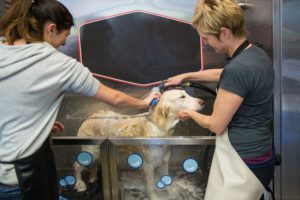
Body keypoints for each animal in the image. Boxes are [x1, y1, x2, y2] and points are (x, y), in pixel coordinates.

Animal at [73, 90, 204, 199]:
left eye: (187, 93)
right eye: (182, 97)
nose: (202, 102)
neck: (160, 127)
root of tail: (90, 117)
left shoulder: (164, 161)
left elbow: (167, 180)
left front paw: (171, 192)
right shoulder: (148, 165)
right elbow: (150, 186)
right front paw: (155, 197)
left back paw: (93, 177)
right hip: (91, 151)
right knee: (76, 166)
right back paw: (79, 184)